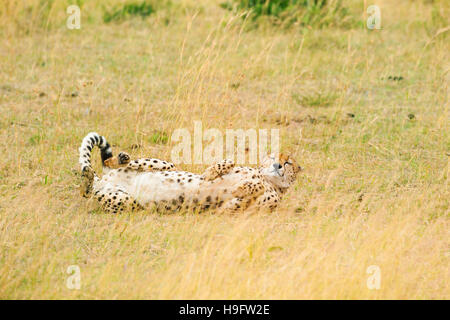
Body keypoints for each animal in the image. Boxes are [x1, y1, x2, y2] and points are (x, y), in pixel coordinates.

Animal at [80, 131, 302, 214]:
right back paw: (120, 159)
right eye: (272, 157)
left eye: (288, 162)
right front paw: (212, 173)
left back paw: (88, 178)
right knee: (112, 163)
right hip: (165, 165)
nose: (278, 165)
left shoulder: (232, 210)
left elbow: (247, 194)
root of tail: (104, 180)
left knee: (87, 189)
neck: (268, 179)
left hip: (125, 202)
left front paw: (243, 187)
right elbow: (227, 162)